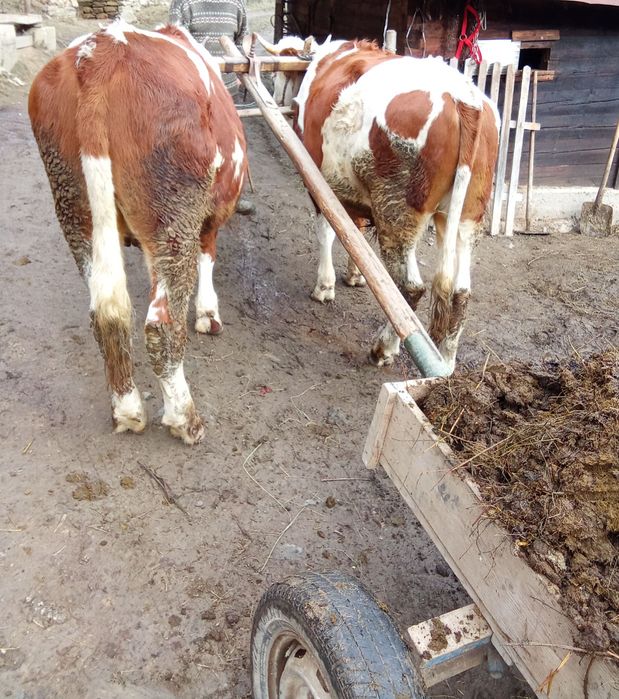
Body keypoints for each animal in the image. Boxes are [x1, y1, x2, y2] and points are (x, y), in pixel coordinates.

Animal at [28, 19, 248, 444]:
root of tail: (99, 55)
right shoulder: (210, 215)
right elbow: (208, 255)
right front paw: (208, 313)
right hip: (172, 216)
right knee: (161, 324)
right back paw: (185, 419)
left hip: (75, 207)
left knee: (107, 314)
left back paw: (128, 411)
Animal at [258, 35, 500, 372]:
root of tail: (463, 98)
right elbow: (355, 233)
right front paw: (355, 275)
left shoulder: (318, 180)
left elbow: (329, 230)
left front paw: (325, 286)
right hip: (468, 215)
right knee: (460, 291)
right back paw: (447, 360)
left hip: (396, 211)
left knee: (411, 287)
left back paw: (383, 347)